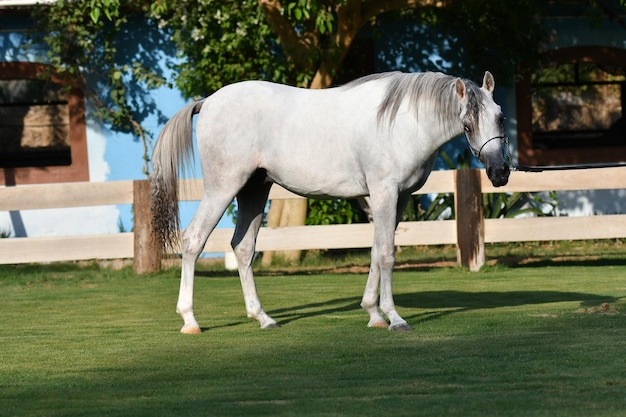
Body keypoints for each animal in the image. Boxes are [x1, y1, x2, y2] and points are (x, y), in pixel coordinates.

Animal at [150, 70, 508, 334]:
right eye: (467, 124)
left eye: (501, 117)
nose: (500, 172)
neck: (402, 122)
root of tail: (208, 102)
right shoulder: (384, 194)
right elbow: (387, 255)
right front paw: (394, 318)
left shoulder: (400, 199)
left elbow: (376, 252)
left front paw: (373, 314)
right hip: (223, 188)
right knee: (194, 240)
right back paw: (190, 320)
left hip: (253, 190)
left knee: (242, 248)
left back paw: (263, 317)